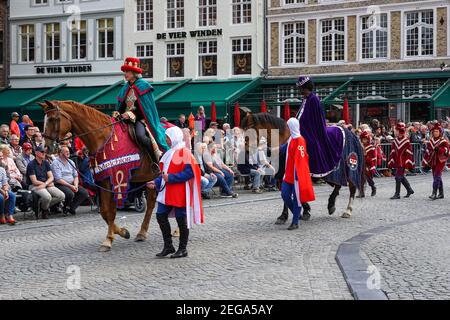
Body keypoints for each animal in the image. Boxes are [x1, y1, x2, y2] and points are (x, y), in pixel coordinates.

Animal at [39, 101, 158, 251]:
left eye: (53, 119)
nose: (46, 148)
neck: (102, 137)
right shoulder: (103, 182)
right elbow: (105, 212)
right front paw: (122, 232)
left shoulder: (116, 181)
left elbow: (110, 211)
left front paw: (108, 240)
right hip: (148, 178)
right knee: (152, 202)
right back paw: (142, 233)